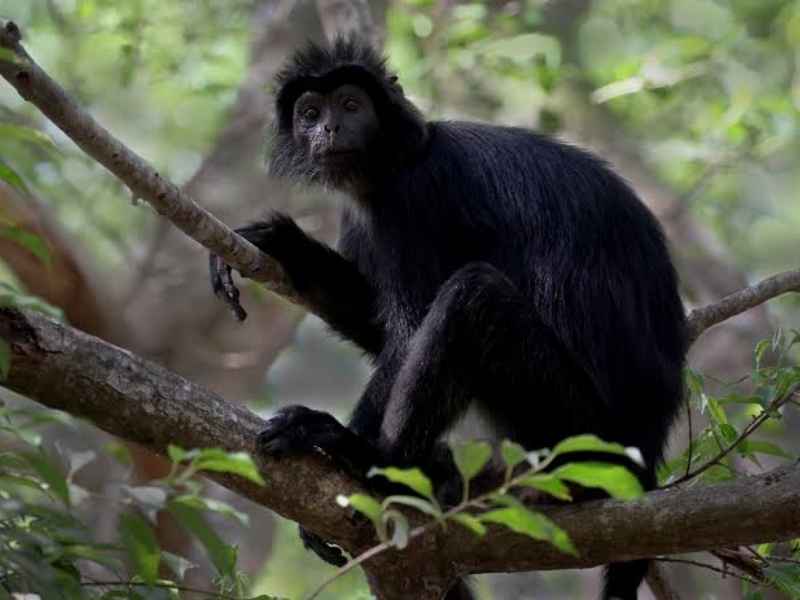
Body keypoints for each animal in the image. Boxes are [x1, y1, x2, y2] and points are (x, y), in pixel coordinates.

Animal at [209, 38, 688, 600]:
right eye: (310, 113)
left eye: (350, 105)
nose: (328, 129)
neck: (399, 161)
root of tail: (648, 451)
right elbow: (380, 328)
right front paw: (278, 242)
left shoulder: (418, 199)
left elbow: (407, 332)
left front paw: (348, 448)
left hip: (584, 429)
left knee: (472, 296)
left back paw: (376, 465)